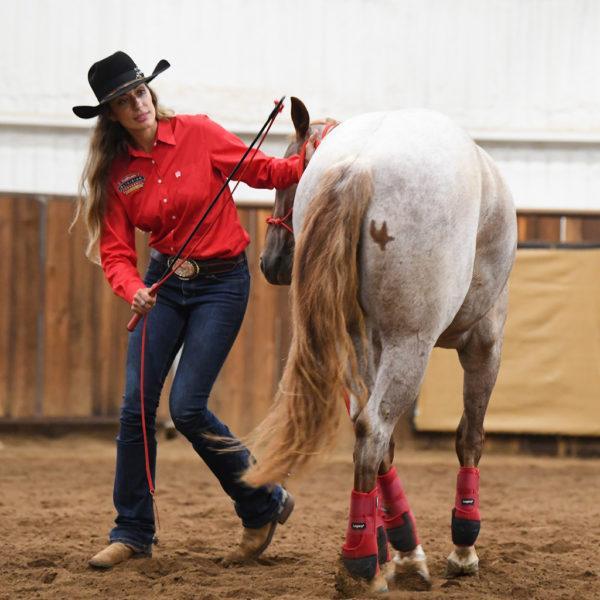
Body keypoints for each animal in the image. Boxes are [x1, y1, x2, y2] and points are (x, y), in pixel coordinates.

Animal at [248, 97, 517, 592]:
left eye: (290, 172)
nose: (271, 261)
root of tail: (360, 162)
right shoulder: (486, 344)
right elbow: (469, 437)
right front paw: (463, 545)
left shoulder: (369, 343)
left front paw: (394, 546)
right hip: (410, 345)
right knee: (374, 430)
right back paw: (362, 562)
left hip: (364, 345)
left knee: (370, 433)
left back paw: (391, 548)